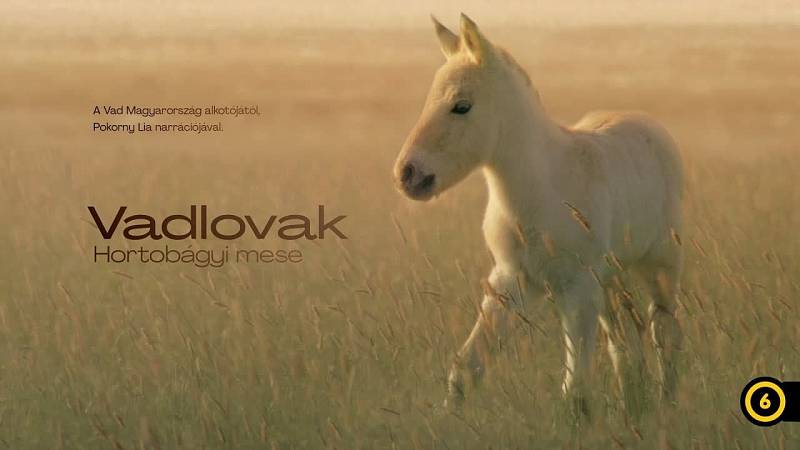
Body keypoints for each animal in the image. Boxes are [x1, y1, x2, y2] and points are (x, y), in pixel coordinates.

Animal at [393, 14, 684, 414]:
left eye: (461, 106)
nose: (407, 174)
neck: (540, 190)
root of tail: (648, 124)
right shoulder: (511, 280)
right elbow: (467, 367)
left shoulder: (576, 286)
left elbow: (575, 388)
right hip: (610, 278)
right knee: (624, 335)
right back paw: (632, 401)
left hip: (659, 263)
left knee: (663, 328)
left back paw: (666, 401)